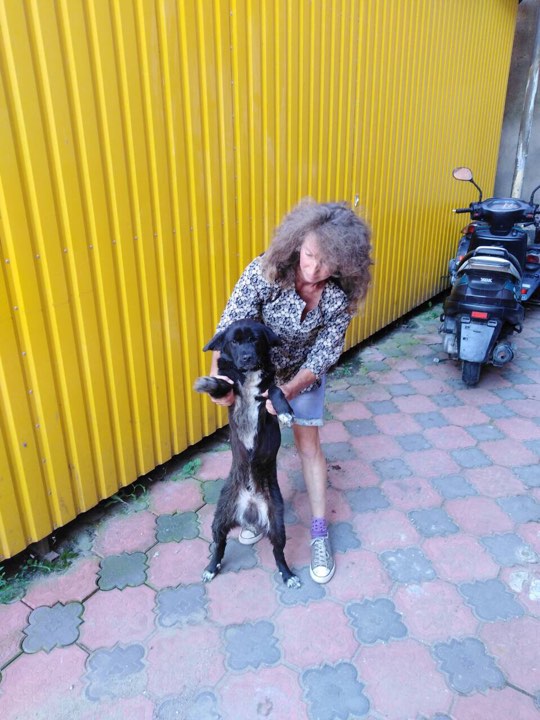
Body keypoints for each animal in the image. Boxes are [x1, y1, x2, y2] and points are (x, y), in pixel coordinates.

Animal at [194, 319, 301, 588]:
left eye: (255, 340)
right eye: (234, 341)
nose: (246, 357)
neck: (248, 374)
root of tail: (249, 506)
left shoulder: (267, 394)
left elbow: (275, 390)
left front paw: (285, 412)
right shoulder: (230, 393)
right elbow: (223, 384)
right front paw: (208, 383)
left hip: (276, 521)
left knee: (278, 553)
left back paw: (288, 575)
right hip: (219, 518)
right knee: (219, 545)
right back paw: (211, 568)